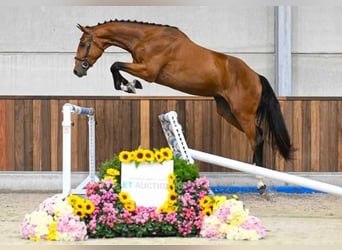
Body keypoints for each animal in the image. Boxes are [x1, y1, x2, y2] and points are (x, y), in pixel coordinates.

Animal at [73, 19, 292, 193]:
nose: (77, 71)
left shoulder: (148, 71)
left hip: (242, 112)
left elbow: (115, 65)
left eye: (83, 43)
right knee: (258, 134)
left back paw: (261, 183)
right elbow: (116, 67)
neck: (146, 38)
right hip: (227, 111)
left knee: (256, 139)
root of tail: (256, 76)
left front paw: (130, 86)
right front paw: (129, 85)